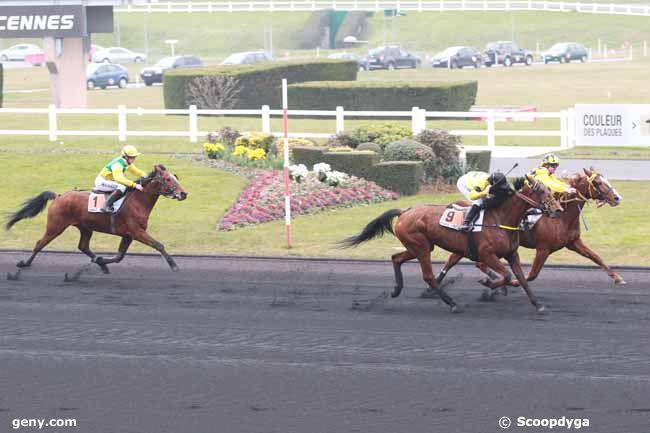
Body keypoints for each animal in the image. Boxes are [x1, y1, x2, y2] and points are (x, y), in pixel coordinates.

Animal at [5, 164, 187, 278]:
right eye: (168, 179)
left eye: (175, 177)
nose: (184, 194)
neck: (137, 201)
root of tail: (59, 196)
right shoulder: (137, 231)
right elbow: (158, 245)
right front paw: (174, 266)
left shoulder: (128, 234)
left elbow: (119, 256)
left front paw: (101, 261)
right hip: (55, 226)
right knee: (40, 243)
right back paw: (24, 264)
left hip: (85, 227)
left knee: (83, 246)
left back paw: (101, 265)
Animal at [342, 174, 560, 312]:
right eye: (541, 191)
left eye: (549, 189)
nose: (557, 210)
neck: (500, 217)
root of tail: (404, 212)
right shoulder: (487, 254)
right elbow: (506, 276)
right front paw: (488, 283)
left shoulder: (511, 254)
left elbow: (522, 279)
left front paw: (537, 304)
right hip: (421, 247)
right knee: (428, 276)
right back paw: (452, 303)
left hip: (418, 246)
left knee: (396, 258)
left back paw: (397, 290)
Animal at [436, 169, 624, 286]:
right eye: (598, 182)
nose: (617, 198)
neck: (562, 217)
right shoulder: (543, 248)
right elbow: (532, 275)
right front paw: (512, 282)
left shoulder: (573, 242)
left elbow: (596, 257)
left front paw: (618, 278)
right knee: (465, 260)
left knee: (465, 260)